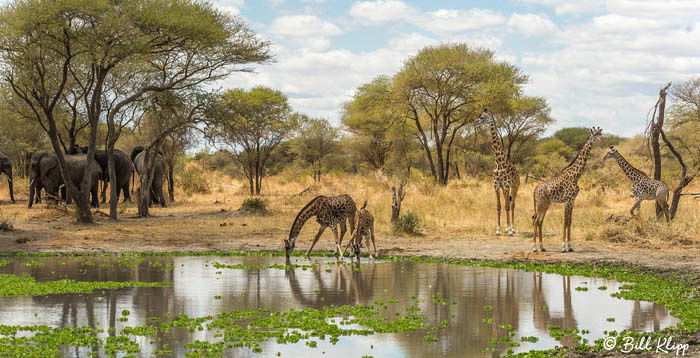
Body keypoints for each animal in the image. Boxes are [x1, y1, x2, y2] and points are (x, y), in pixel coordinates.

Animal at [474, 109, 524, 238]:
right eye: (479, 116)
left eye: (482, 117)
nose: (474, 122)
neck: (499, 163)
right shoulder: (496, 186)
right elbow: (499, 207)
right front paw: (498, 230)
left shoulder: (506, 185)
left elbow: (507, 206)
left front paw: (510, 231)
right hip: (505, 188)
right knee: (508, 203)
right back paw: (507, 228)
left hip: (515, 186)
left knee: (512, 204)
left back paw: (513, 228)